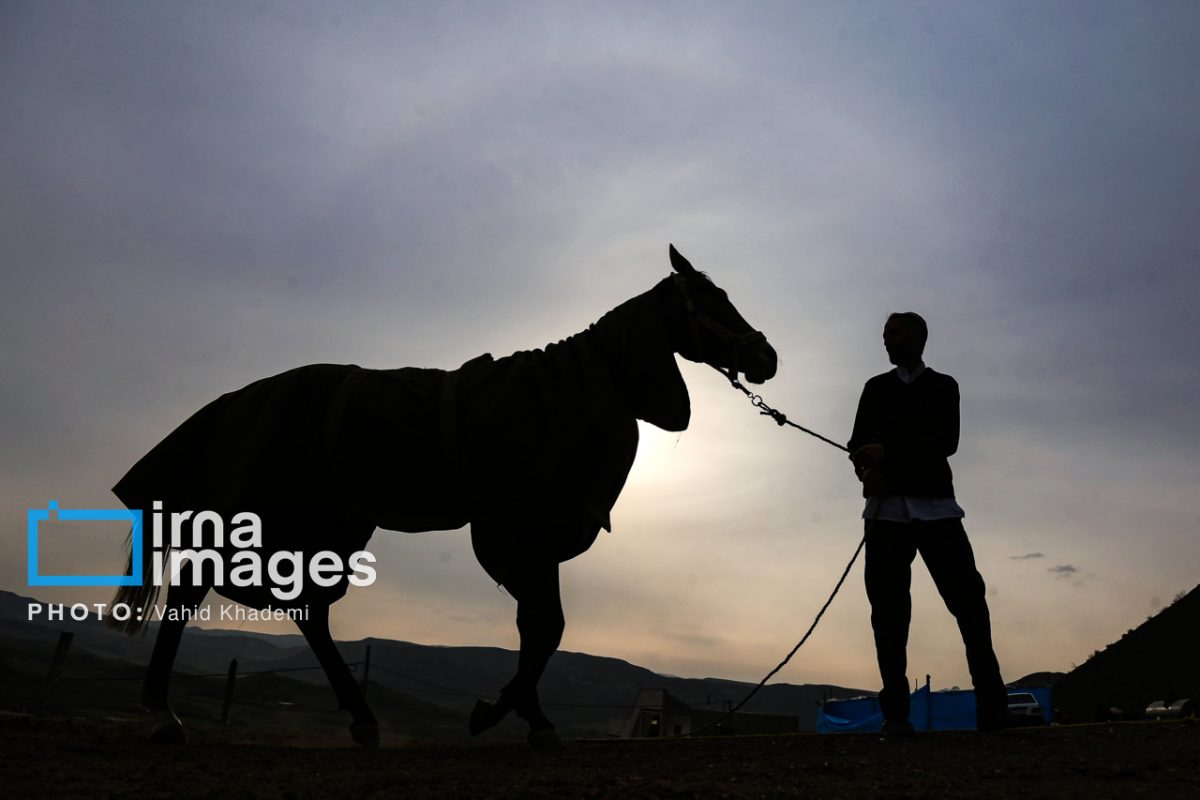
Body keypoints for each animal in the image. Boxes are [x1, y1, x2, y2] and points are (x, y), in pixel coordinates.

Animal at [108, 244, 777, 748]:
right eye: (713, 300)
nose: (766, 356)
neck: (579, 389)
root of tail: (240, 398)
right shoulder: (515, 531)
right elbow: (545, 627)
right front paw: (502, 712)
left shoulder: (531, 542)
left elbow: (538, 626)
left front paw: (525, 715)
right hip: (273, 518)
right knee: (200, 586)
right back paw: (164, 713)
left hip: (331, 525)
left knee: (305, 609)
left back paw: (359, 718)